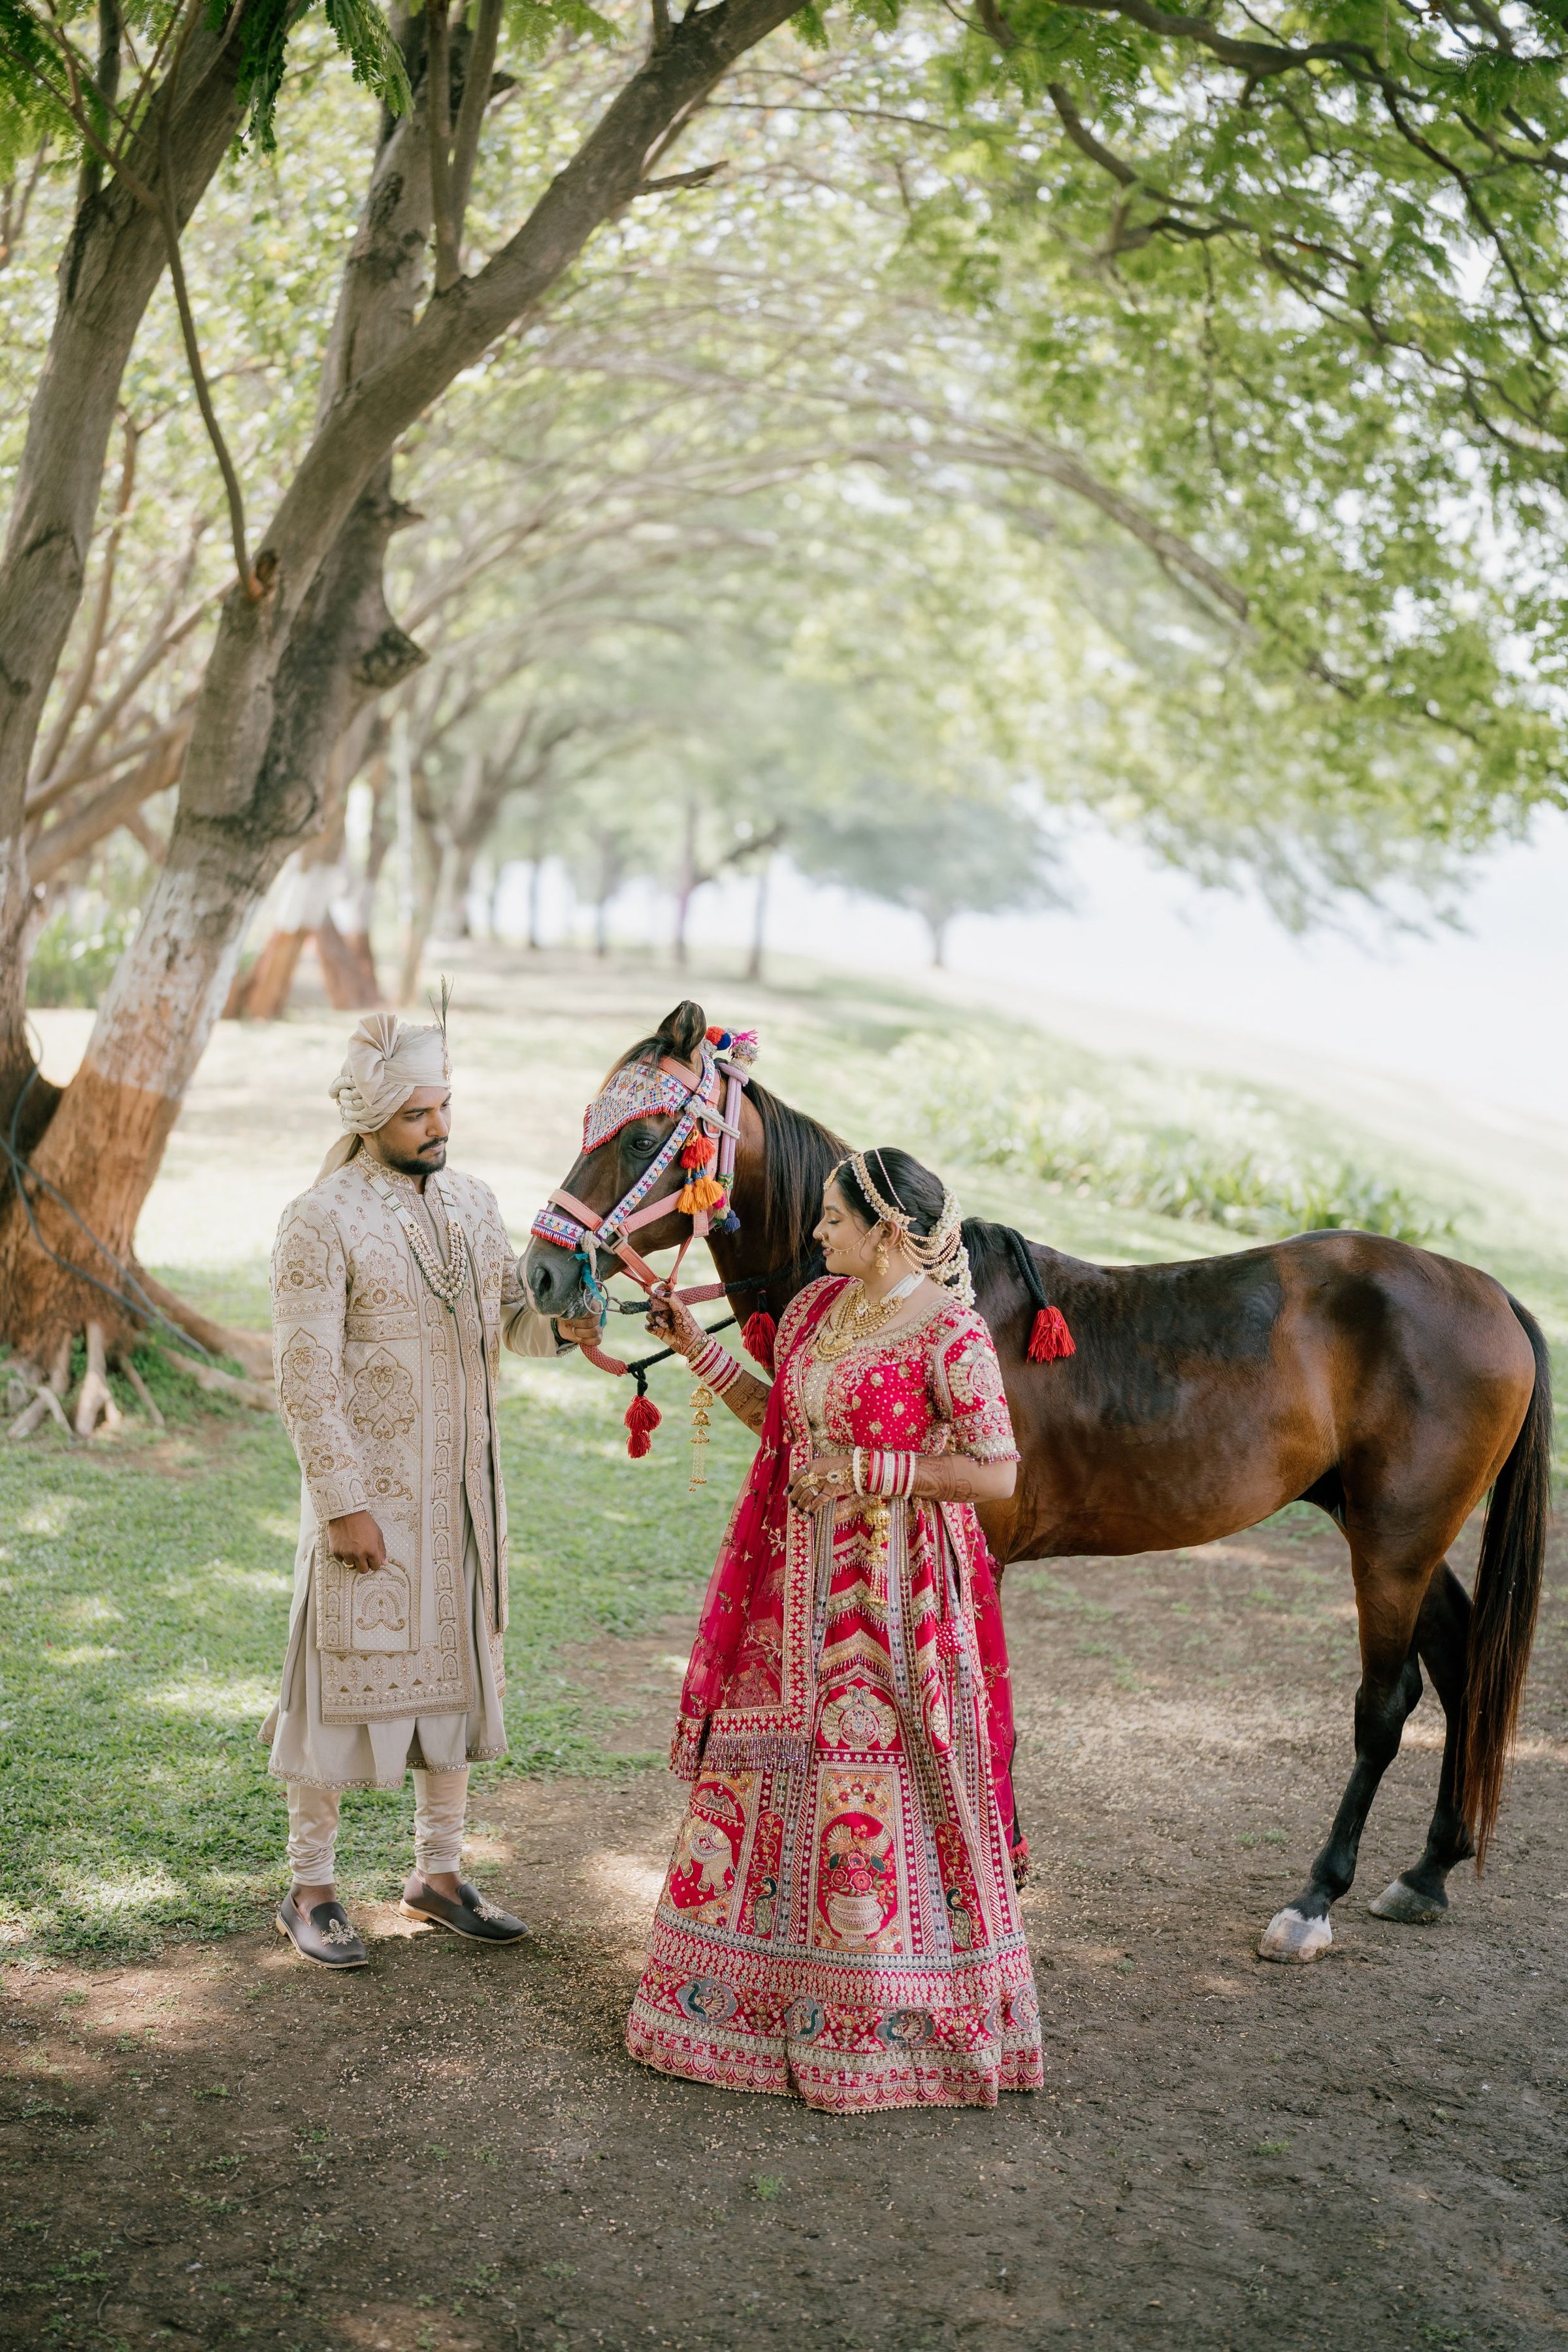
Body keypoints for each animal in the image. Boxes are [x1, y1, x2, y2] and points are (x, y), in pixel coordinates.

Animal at [523, 999, 1552, 1964]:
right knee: (1461, 1664)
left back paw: (1316, 1898)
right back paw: (1430, 1868)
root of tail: (1492, 1293)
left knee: (1387, 1704)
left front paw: (996, 1867)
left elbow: (989, 1714)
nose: (541, 1273)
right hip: (1389, 1529)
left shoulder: (982, 1539)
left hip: (1394, 1537)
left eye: (646, 1136)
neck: (918, 1283)